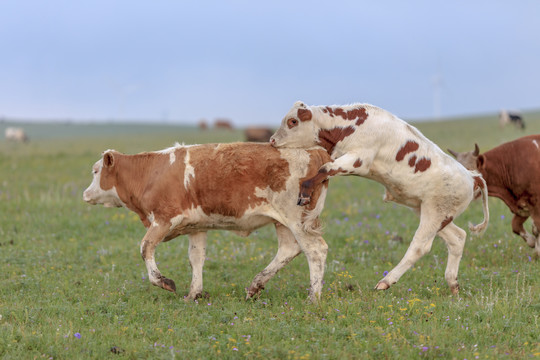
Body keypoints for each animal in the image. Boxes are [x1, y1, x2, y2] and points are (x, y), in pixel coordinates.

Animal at [83, 142, 334, 302]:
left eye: (95, 171)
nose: (85, 194)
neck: (151, 173)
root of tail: (315, 152)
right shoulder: (197, 227)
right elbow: (196, 258)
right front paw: (194, 294)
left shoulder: (164, 218)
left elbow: (146, 248)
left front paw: (164, 282)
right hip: (283, 222)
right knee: (288, 249)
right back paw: (255, 286)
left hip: (297, 221)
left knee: (315, 251)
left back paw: (313, 298)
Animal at [270, 100, 490, 294]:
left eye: (293, 121)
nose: (272, 140)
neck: (351, 124)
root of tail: (472, 177)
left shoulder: (358, 160)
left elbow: (325, 168)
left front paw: (305, 192)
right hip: (429, 211)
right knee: (457, 237)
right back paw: (453, 284)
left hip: (435, 212)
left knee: (420, 246)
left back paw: (386, 281)